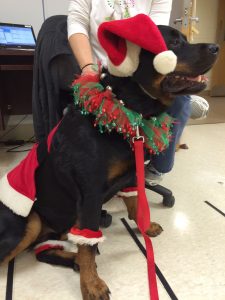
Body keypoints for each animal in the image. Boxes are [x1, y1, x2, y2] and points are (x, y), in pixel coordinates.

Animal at [0, 25, 218, 300]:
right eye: (174, 43)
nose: (216, 47)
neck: (127, 111)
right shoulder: (90, 193)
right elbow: (88, 247)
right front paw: (91, 284)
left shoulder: (131, 175)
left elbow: (135, 205)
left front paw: (146, 227)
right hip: (29, 222)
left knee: (44, 251)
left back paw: (72, 260)